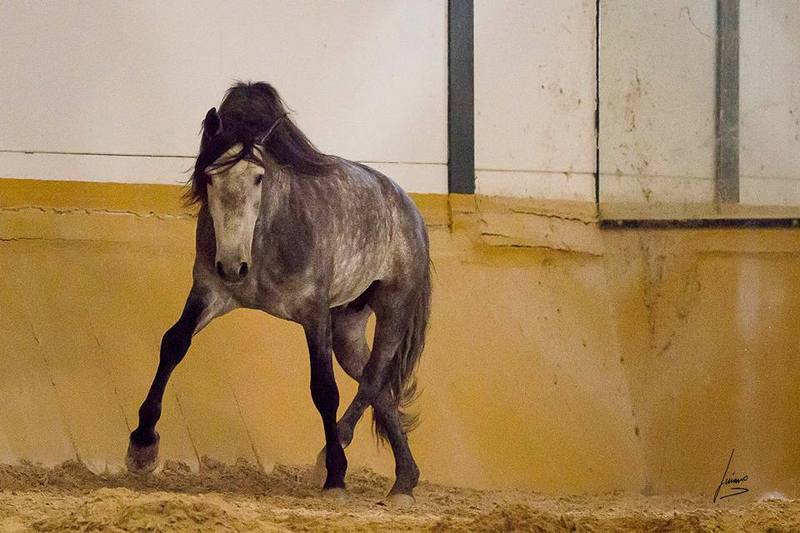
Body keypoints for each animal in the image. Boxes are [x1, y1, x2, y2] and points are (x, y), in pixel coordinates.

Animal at [126, 81, 431, 505]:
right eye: (210, 177)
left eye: (259, 177)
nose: (232, 266)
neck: (264, 238)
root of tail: (408, 208)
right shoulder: (209, 293)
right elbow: (174, 344)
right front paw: (141, 446)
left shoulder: (313, 312)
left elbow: (324, 390)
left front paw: (336, 477)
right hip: (347, 326)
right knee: (379, 385)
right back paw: (404, 481)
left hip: (393, 307)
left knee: (373, 377)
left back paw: (336, 459)